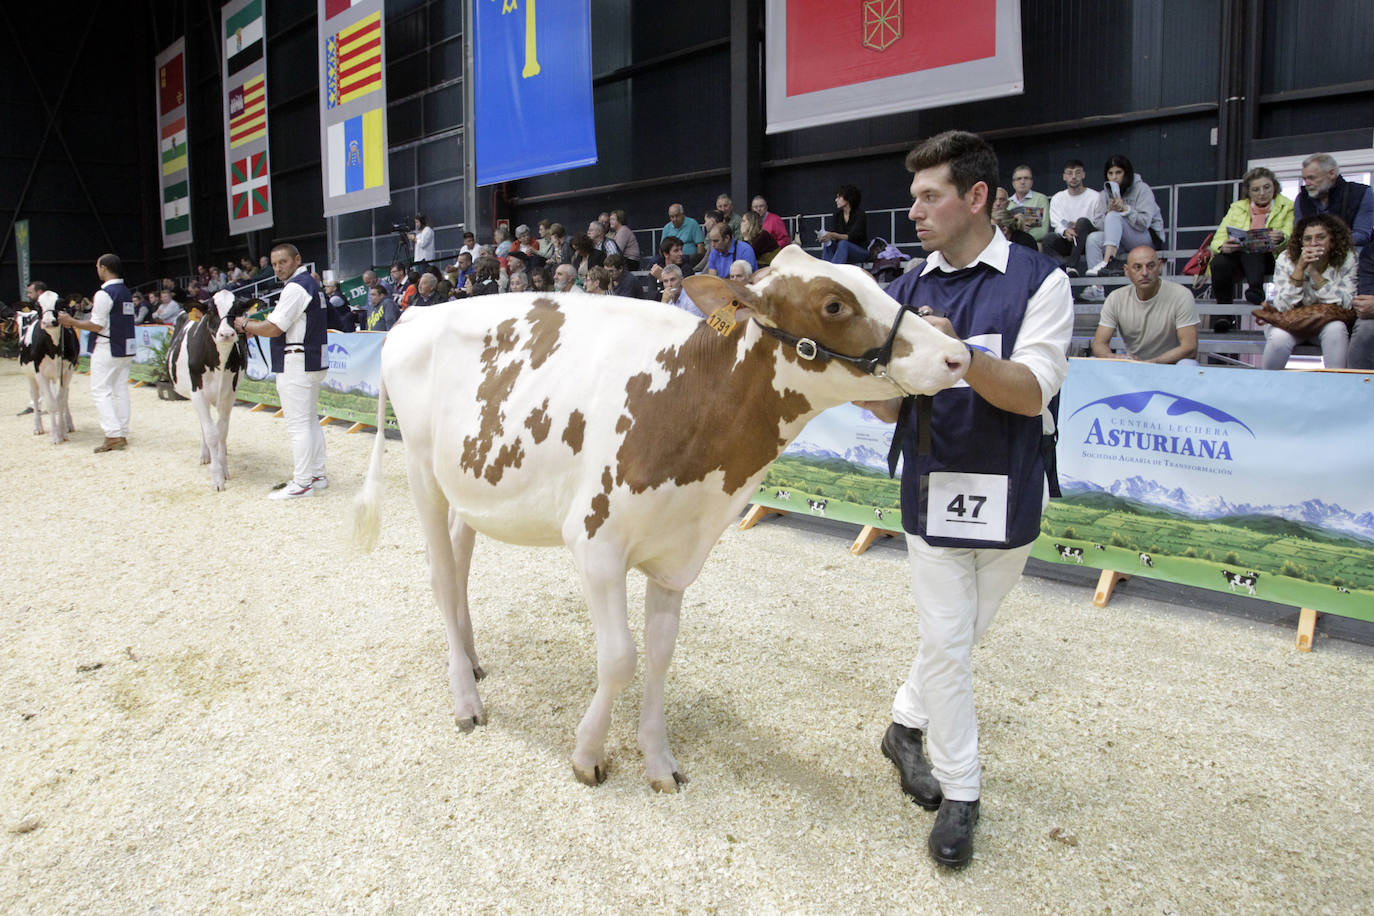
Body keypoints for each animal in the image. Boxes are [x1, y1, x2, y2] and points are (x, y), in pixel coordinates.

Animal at [19, 288, 79, 442]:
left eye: (60, 304)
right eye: (38, 306)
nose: (47, 321)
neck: (54, 349)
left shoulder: (67, 370)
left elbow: (61, 401)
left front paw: (62, 432)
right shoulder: (39, 373)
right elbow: (51, 404)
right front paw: (55, 437)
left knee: (64, 396)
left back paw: (68, 425)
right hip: (30, 375)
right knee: (35, 398)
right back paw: (38, 427)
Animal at [166, 289, 258, 491]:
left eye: (237, 309)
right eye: (210, 311)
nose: (227, 334)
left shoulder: (230, 393)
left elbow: (222, 431)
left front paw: (223, 469)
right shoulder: (197, 392)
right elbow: (211, 433)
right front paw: (216, 477)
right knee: (204, 425)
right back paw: (205, 455)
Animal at [348, 247, 967, 791]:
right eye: (834, 304)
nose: (957, 355)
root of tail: (418, 314)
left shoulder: (678, 553)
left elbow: (660, 654)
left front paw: (659, 762)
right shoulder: (595, 544)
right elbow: (620, 658)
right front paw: (588, 755)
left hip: (469, 485)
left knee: (460, 566)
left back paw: (474, 662)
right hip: (422, 469)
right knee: (440, 576)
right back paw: (466, 700)